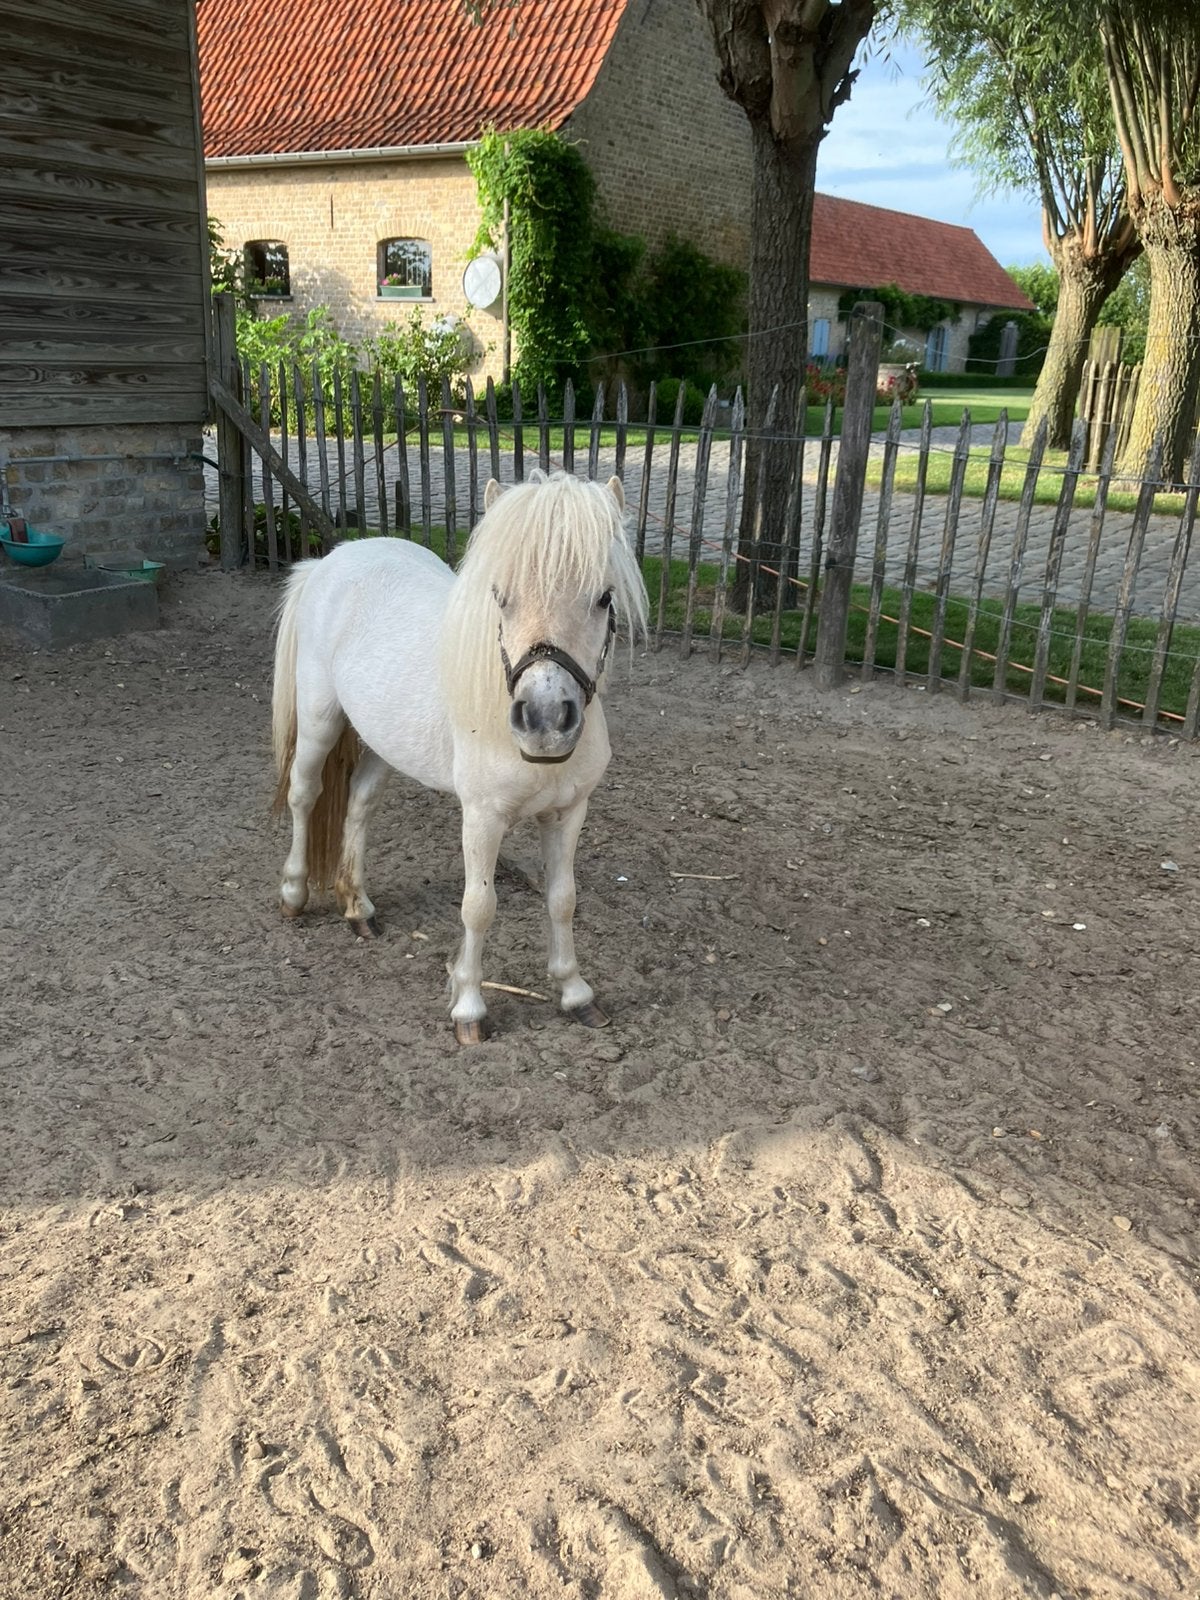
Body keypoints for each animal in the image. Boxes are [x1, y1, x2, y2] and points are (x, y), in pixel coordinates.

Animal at [270, 470, 648, 1045]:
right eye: (500, 596)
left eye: (604, 598)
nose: (544, 719)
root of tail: (331, 560)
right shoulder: (482, 818)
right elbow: (479, 907)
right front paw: (469, 1008)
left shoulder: (568, 812)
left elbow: (562, 898)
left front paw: (575, 993)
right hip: (319, 721)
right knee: (304, 795)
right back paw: (293, 895)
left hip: (383, 742)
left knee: (359, 804)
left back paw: (357, 905)